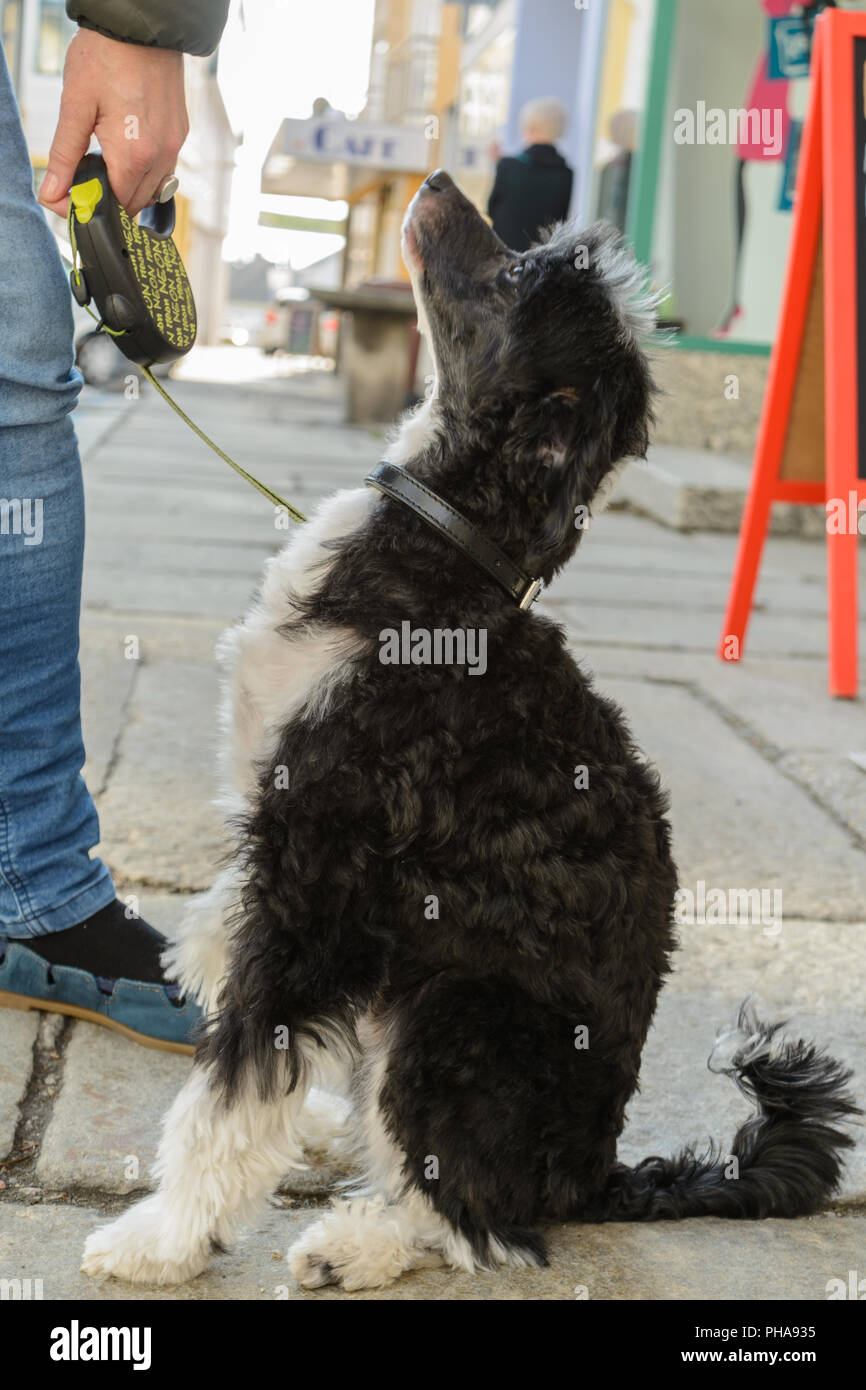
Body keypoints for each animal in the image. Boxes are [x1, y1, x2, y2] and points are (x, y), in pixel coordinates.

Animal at [83, 173, 861, 1289]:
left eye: (515, 277)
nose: (446, 179)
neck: (449, 546)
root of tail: (596, 1172)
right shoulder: (281, 856)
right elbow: (244, 1003)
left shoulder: (321, 879)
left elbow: (232, 1091)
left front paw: (165, 1238)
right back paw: (328, 1131)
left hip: (447, 1015)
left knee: (480, 1220)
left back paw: (358, 1242)